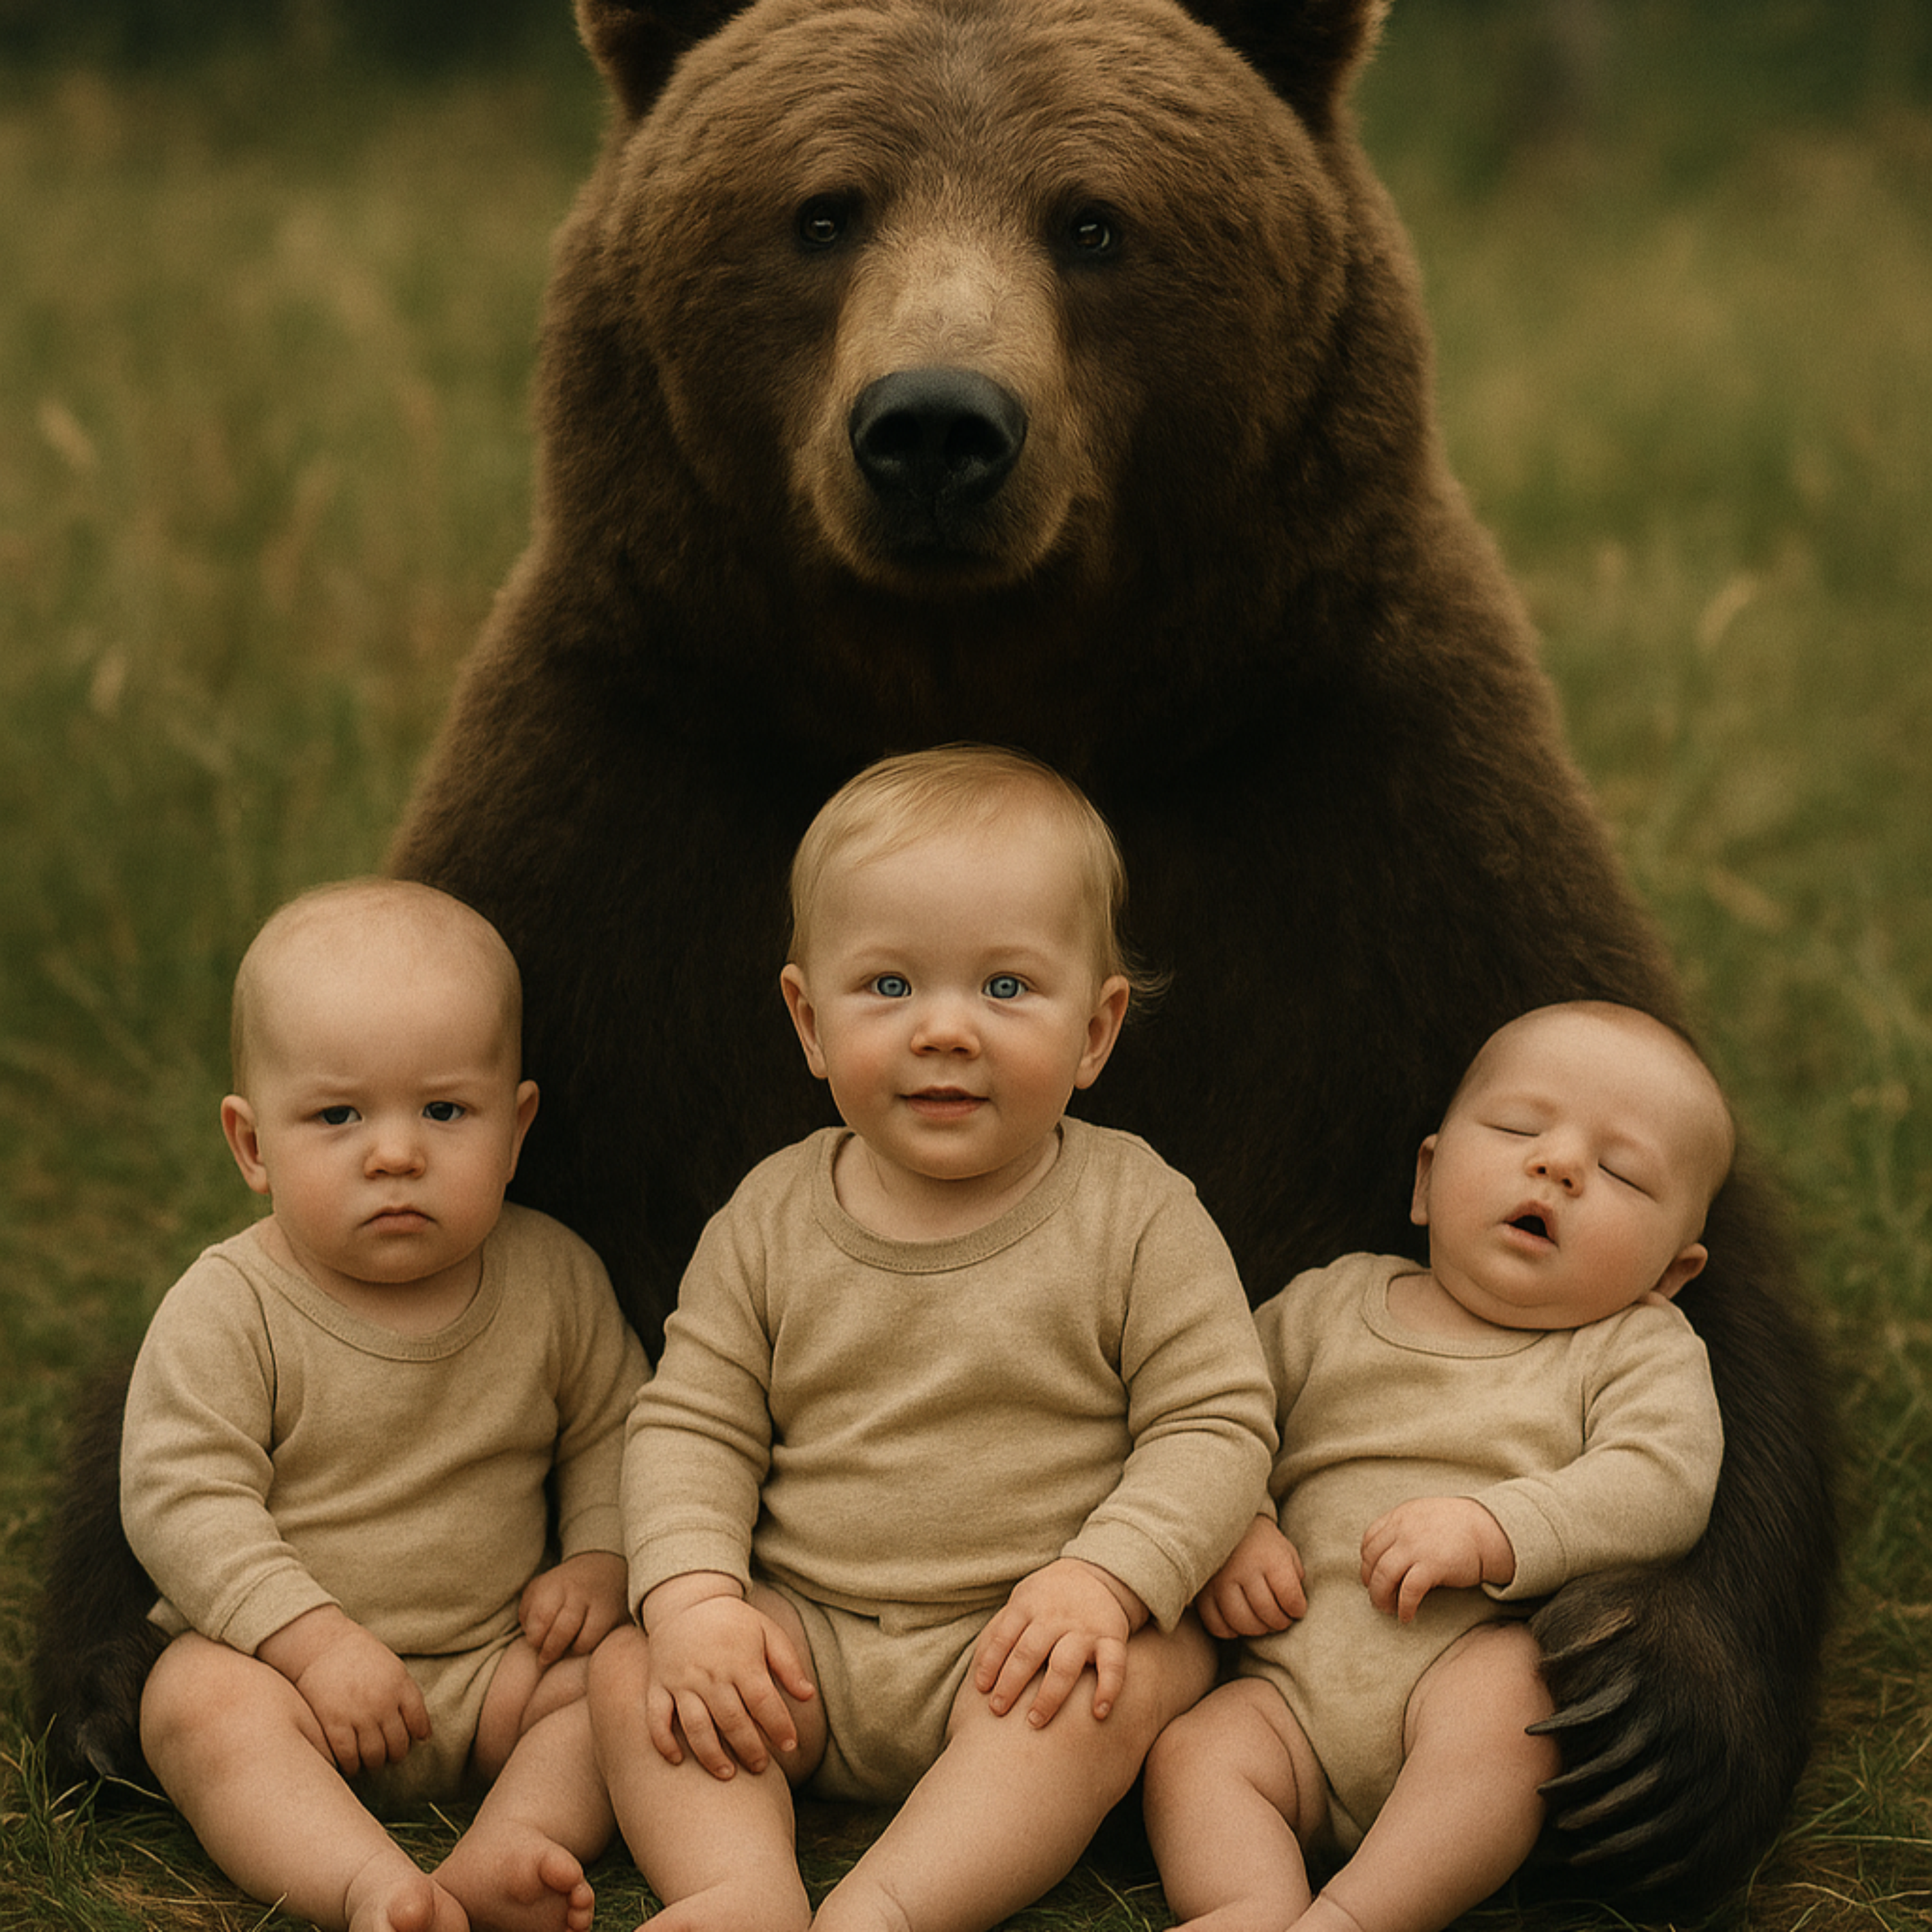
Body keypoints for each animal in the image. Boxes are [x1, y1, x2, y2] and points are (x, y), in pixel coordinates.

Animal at [33, 0, 1834, 1915]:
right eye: (821, 210)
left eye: (1093, 220)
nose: (936, 427)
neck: (988, 691)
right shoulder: (624, 800)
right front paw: (106, 1669)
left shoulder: (1363, 798)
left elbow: (1711, 1280)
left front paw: (1639, 1714)